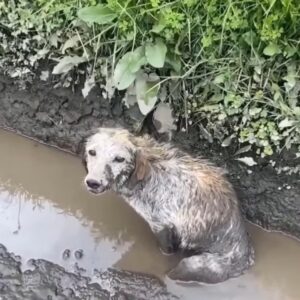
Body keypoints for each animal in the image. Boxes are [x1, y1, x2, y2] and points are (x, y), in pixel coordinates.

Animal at [81, 127, 254, 284]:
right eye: (92, 152)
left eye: (119, 159)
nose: (93, 182)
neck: (148, 175)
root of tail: (245, 262)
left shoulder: (160, 225)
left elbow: (166, 249)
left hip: (191, 265)